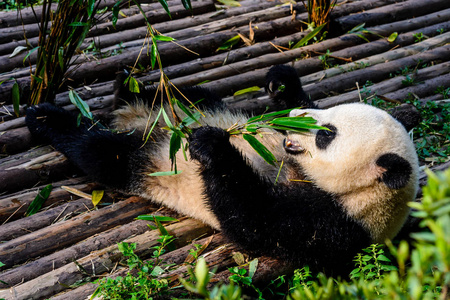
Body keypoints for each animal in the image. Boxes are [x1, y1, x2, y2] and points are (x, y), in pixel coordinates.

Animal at [25, 65, 418, 274]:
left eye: (326, 134)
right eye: (328, 113)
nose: (292, 119)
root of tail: (134, 121)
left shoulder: (331, 224)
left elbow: (251, 221)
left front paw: (211, 145)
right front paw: (282, 82)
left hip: (147, 159)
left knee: (101, 152)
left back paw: (46, 119)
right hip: (193, 103)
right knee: (179, 93)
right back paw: (129, 84)